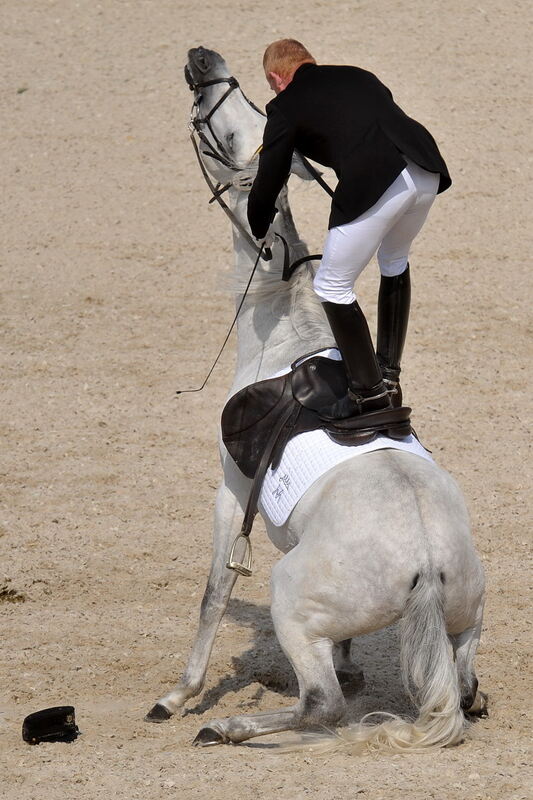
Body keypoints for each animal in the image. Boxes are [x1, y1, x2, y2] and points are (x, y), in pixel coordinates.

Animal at [143, 48, 484, 752]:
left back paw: (226, 726)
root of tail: (427, 565)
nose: (201, 60)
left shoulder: (229, 495)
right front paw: (353, 661)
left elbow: (213, 595)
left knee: (321, 704)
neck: (286, 328)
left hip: (289, 595)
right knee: (464, 689)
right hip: (468, 620)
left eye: (236, 134)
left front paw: (178, 696)